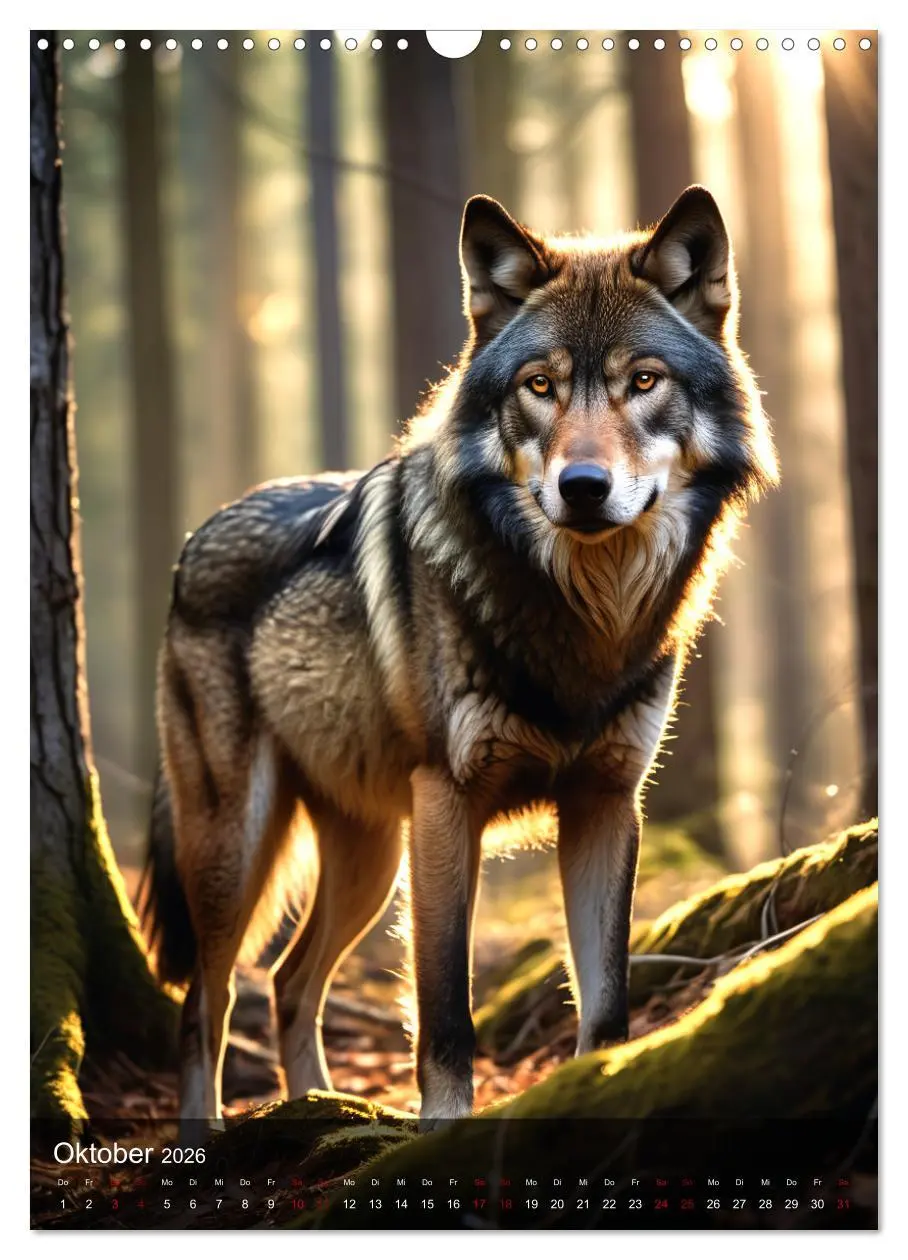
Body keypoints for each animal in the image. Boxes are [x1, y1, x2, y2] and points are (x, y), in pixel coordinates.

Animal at [142, 186, 777, 1134]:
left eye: (643, 381)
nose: (582, 488)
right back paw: (220, 1132)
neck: (580, 614)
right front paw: (440, 1134)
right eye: (540, 386)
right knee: (205, 1001)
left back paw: (320, 1106)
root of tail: (193, 543)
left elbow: (606, 1004)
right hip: (239, 847)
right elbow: (444, 1014)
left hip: (367, 858)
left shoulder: (605, 805)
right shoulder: (447, 805)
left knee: (291, 980)